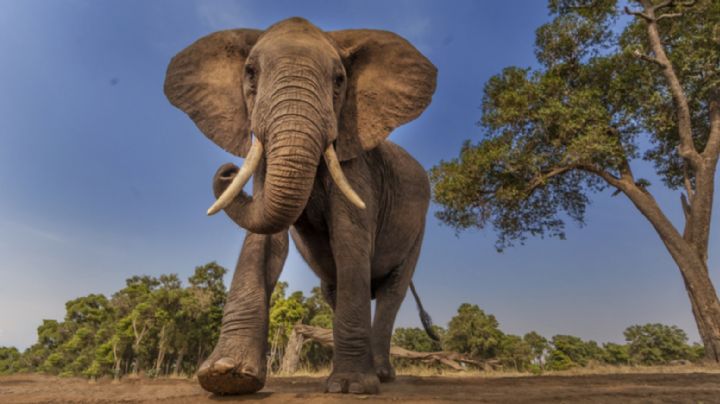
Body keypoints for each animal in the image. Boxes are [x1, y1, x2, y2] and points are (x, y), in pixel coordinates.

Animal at [164, 17, 437, 395]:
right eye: (250, 73)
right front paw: (226, 376)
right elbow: (264, 242)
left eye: (339, 80)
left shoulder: (357, 164)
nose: (227, 170)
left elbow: (350, 239)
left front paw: (352, 387)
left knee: (392, 290)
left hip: (419, 228)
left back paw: (380, 375)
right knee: (334, 289)